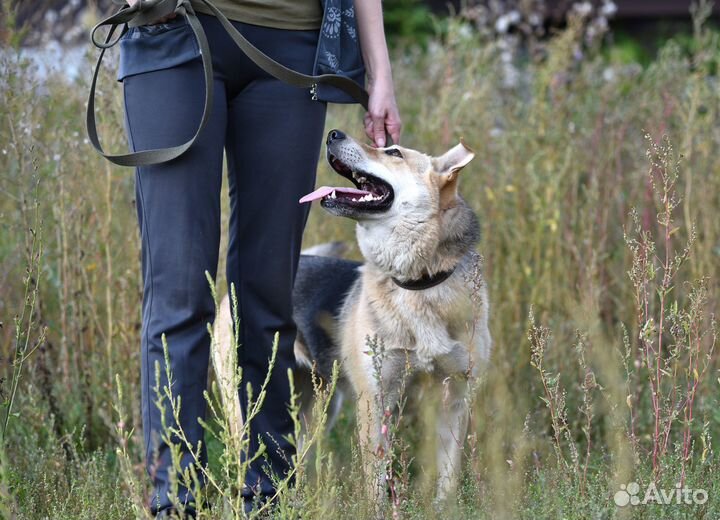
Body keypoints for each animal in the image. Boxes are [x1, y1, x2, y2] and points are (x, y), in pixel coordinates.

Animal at [214, 129, 492, 504]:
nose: (333, 134)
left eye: (394, 152)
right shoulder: (375, 400)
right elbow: (376, 482)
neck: (418, 283)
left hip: (318, 410)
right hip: (245, 405)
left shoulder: (455, 400)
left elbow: (447, 478)